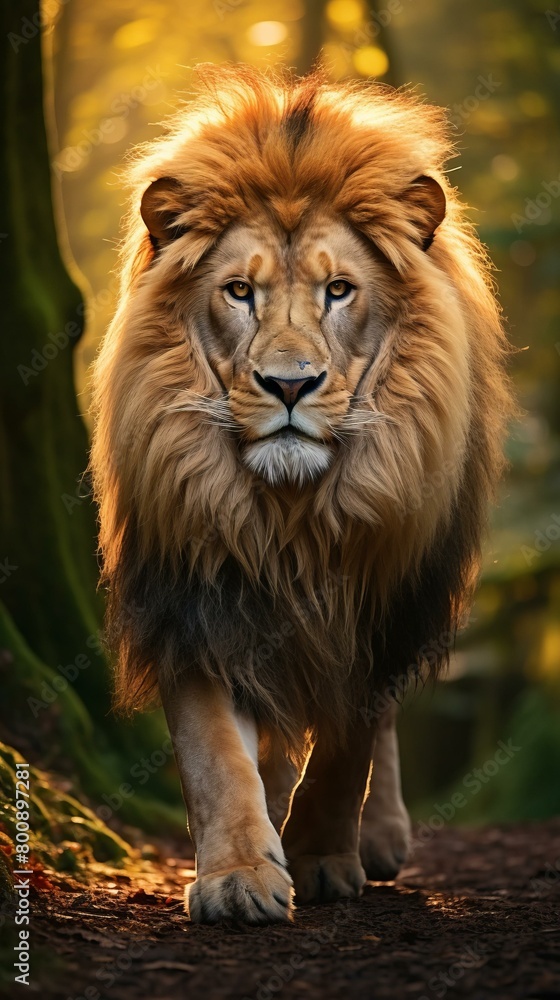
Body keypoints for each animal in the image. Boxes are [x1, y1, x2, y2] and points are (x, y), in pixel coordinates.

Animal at [91, 66, 511, 924]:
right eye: (238, 292)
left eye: (340, 290)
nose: (289, 385)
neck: (289, 518)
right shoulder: (193, 588)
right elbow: (215, 751)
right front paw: (240, 874)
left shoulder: (380, 594)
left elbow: (351, 743)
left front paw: (322, 856)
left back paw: (377, 837)